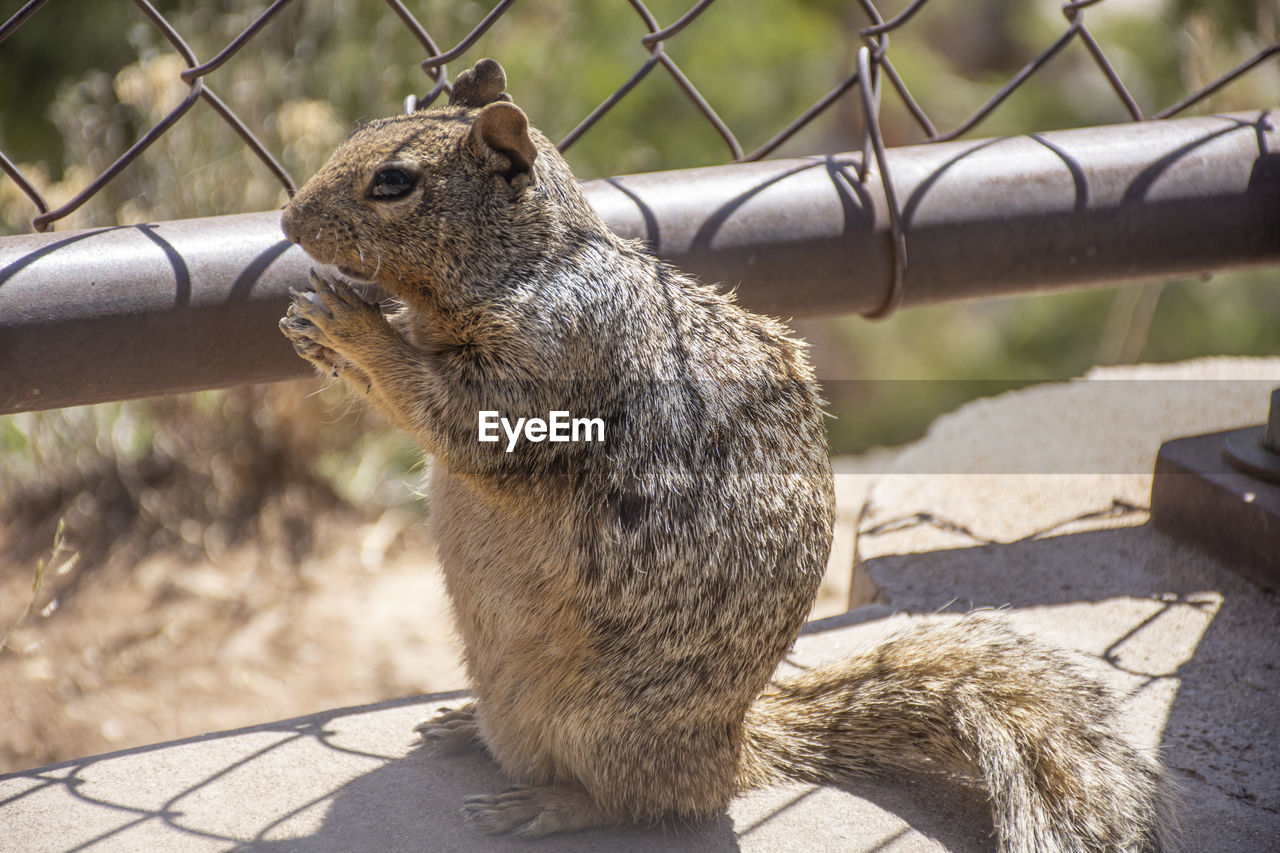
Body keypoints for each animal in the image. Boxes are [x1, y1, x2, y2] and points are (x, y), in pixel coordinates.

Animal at [275, 59, 1172, 850]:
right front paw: (318, 328)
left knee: (645, 803)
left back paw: (546, 805)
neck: (527, 266)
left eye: (395, 181)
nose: (286, 221)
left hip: (602, 723)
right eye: (367, 127)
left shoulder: (553, 365)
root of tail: (736, 746)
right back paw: (465, 721)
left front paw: (353, 329)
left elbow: (459, 420)